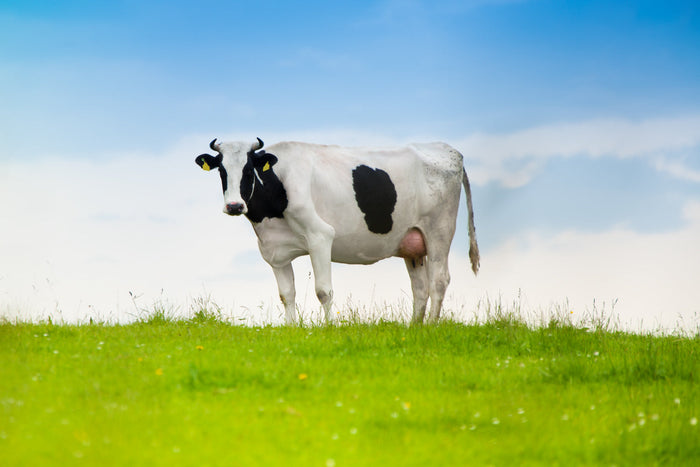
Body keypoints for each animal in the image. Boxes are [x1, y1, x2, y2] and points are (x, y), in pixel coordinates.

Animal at [195, 138, 479, 325]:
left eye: (248, 169)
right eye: (221, 170)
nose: (234, 205)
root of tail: (450, 150)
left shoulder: (320, 236)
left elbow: (323, 291)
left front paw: (330, 328)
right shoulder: (275, 251)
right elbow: (286, 294)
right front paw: (291, 328)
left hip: (439, 231)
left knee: (439, 281)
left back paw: (430, 327)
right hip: (413, 243)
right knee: (420, 288)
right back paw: (414, 329)